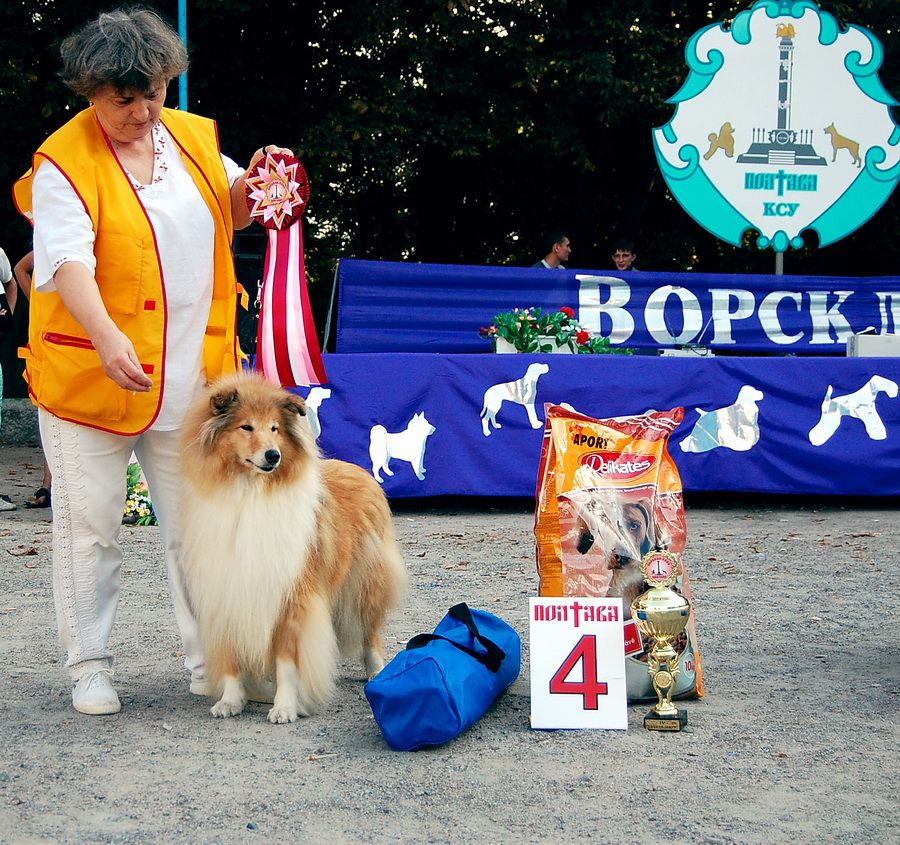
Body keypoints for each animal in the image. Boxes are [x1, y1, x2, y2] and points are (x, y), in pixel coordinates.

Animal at [181, 372, 406, 724]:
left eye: (274, 428)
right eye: (246, 427)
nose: (273, 456)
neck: (249, 495)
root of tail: (359, 469)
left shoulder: (292, 596)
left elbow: (287, 661)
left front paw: (285, 707)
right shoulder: (225, 592)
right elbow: (231, 657)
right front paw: (230, 701)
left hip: (365, 582)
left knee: (370, 630)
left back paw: (376, 670)